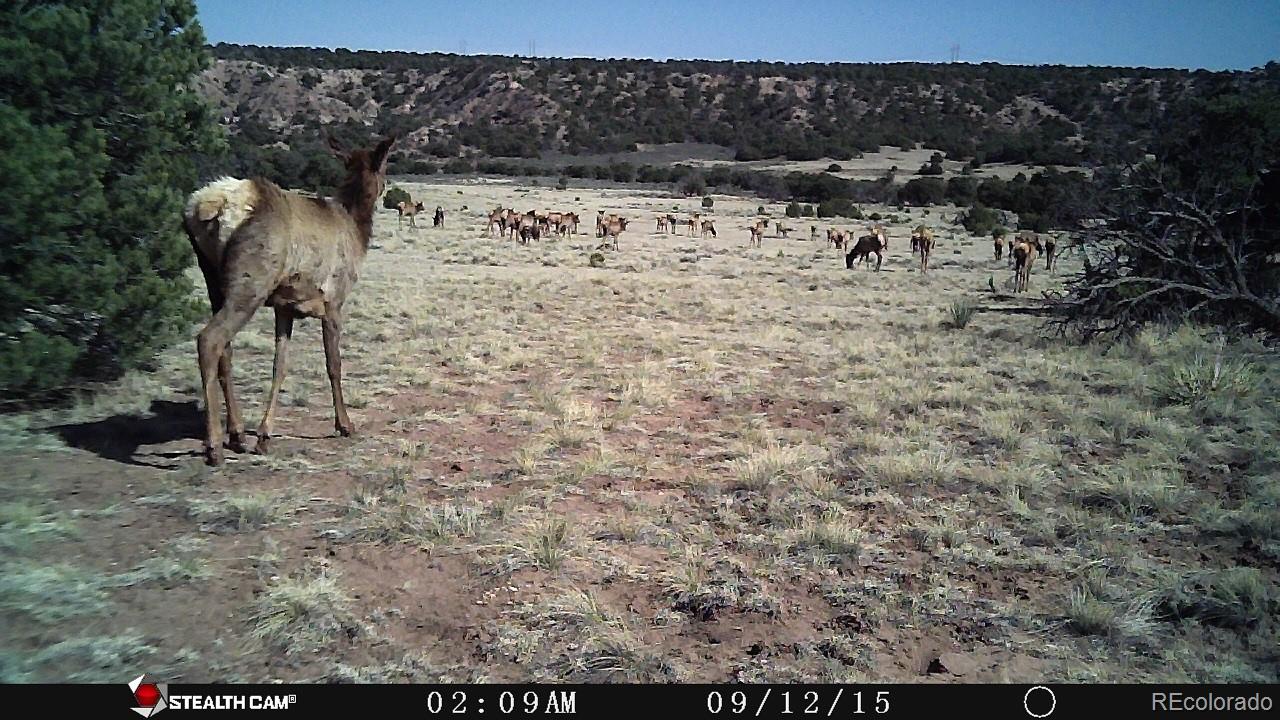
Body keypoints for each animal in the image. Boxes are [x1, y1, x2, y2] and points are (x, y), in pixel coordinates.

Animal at [181, 133, 394, 466]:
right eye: (384, 165)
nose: (387, 186)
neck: (357, 228)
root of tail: (208, 207)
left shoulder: (285, 306)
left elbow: (279, 365)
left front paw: (264, 435)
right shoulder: (334, 302)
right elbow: (334, 364)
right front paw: (344, 424)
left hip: (212, 279)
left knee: (225, 349)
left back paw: (238, 434)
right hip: (251, 282)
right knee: (210, 339)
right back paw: (214, 446)